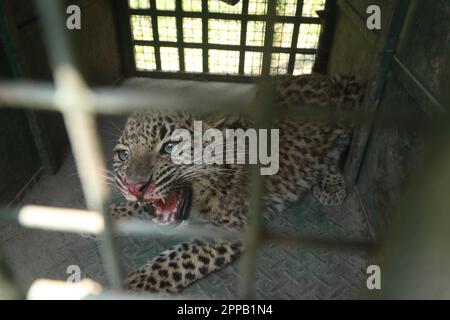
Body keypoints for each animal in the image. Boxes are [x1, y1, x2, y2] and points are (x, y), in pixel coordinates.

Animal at [110, 74, 366, 294]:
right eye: (123, 155)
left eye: (171, 147)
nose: (135, 187)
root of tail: (321, 75)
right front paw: (108, 216)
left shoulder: (233, 227)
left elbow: (177, 260)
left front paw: (134, 286)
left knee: (336, 151)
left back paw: (330, 183)